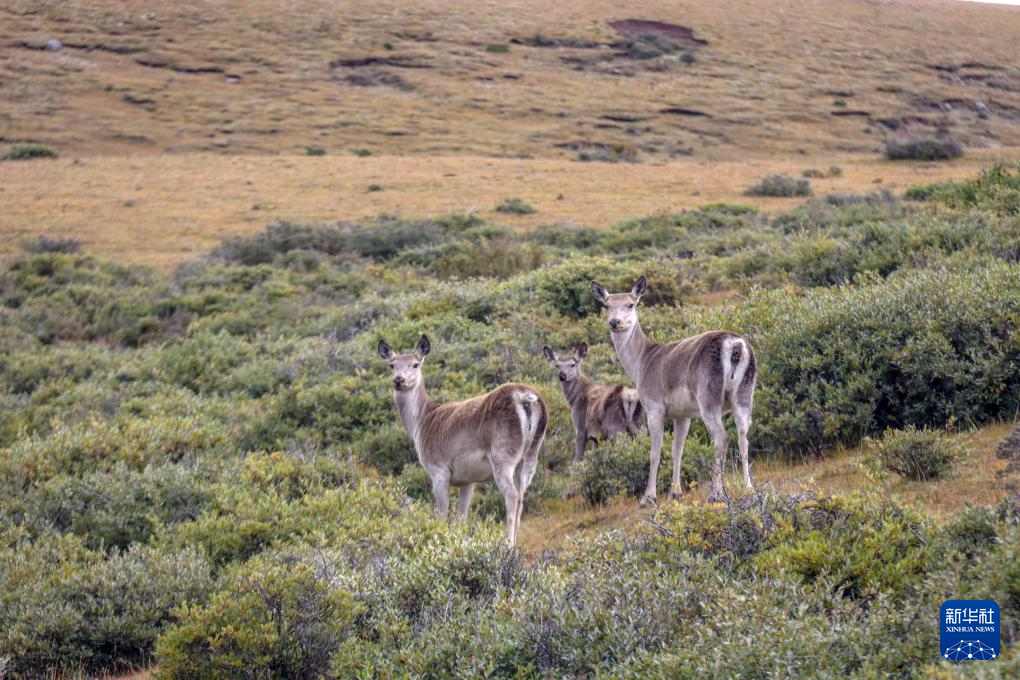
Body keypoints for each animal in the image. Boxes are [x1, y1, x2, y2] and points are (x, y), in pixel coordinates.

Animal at [377, 334, 550, 546]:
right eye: (392, 365)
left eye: (415, 364)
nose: (398, 380)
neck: (421, 424)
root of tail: (527, 399)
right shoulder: (468, 479)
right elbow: (461, 517)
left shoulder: (438, 469)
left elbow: (442, 515)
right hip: (531, 455)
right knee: (522, 497)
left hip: (503, 453)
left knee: (512, 496)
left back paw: (507, 545)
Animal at [591, 277, 758, 505]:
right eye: (607, 305)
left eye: (631, 304)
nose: (615, 322)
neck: (641, 364)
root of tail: (736, 346)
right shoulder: (682, 414)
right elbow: (677, 449)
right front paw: (675, 492)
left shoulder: (654, 406)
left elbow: (655, 451)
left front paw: (648, 497)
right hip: (745, 392)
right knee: (743, 434)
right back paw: (749, 488)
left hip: (708, 394)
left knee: (721, 437)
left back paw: (715, 493)